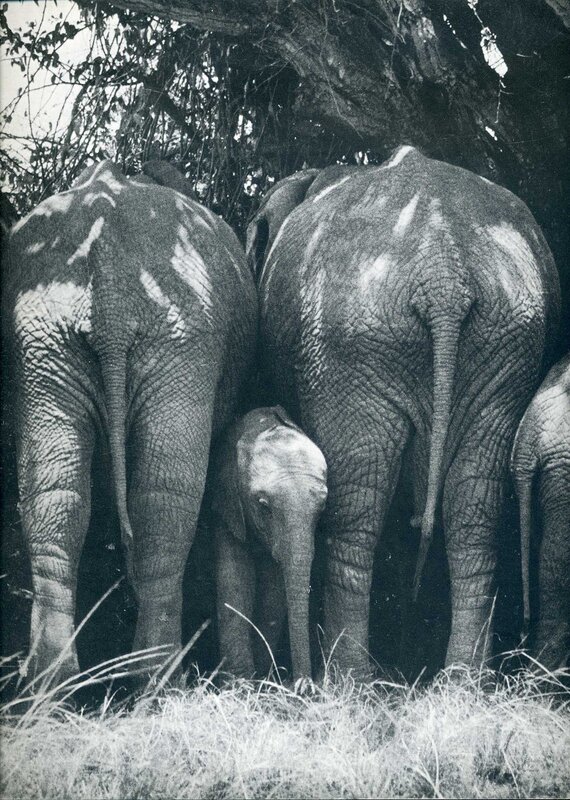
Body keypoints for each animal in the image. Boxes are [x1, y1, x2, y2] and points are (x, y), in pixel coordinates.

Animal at [4, 160, 257, 682]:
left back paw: (54, 681)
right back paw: (155, 679)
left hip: (49, 336)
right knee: (162, 496)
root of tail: (109, 279)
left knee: (58, 490)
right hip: (170, 327)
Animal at [209, 406, 327, 680]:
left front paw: (262, 681)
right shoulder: (228, 509)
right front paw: (240, 684)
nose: (303, 686)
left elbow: (274, 594)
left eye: (322, 509)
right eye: (264, 507)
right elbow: (235, 582)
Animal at [247, 144, 561, 678]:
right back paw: (460, 681)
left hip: (346, 343)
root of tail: (445, 274)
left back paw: (348, 680)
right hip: (504, 342)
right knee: (473, 512)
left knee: (356, 513)